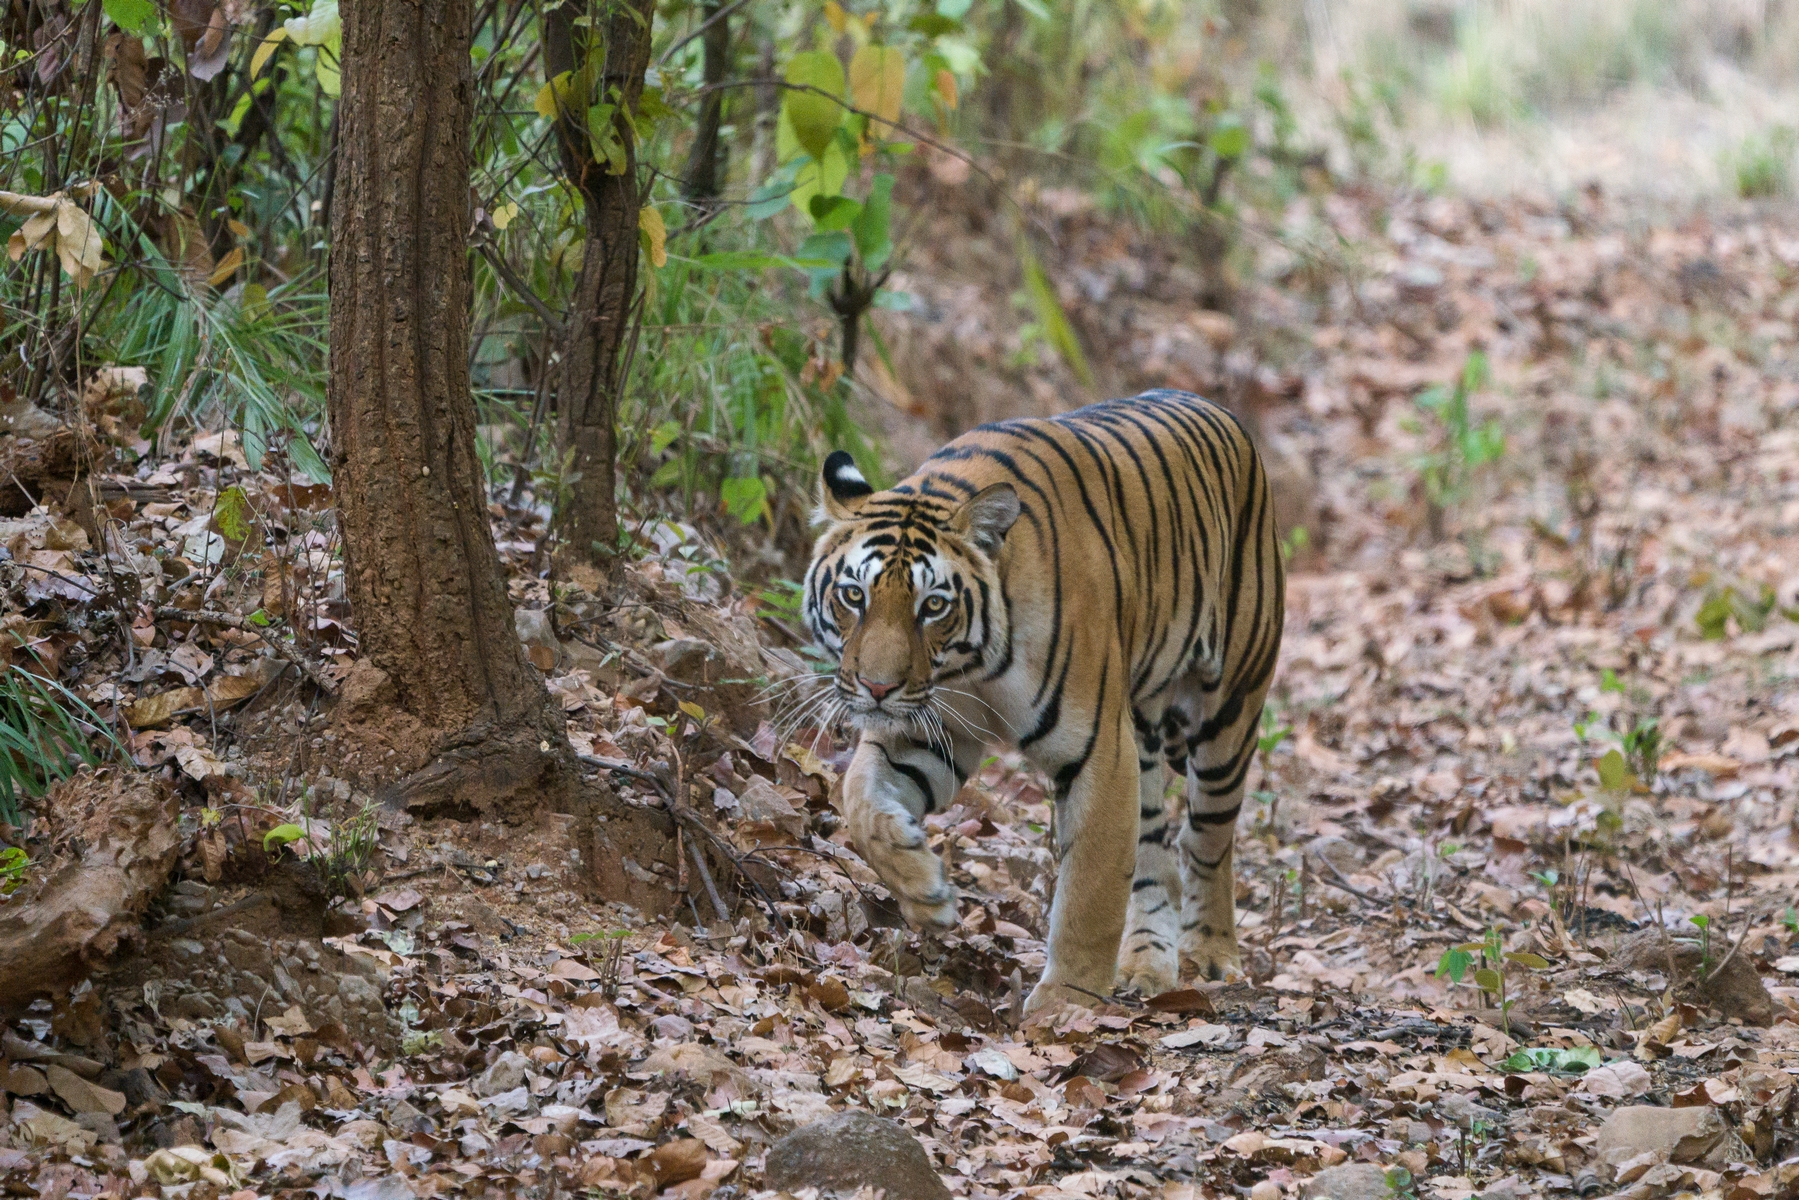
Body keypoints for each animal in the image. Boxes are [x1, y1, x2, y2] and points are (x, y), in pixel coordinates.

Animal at [801, 388, 1286, 1013]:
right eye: (853, 595)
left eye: (933, 606)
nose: (877, 688)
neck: (971, 664)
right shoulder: (929, 731)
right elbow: (859, 797)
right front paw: (924, 891)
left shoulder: (1101, 752)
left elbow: (1090, 890)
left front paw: (1065, 1005)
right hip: (1145, 732)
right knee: (1156, 855)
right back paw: (1146, 965)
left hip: (1228, 708)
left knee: (1208, 840)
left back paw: (1209, 952)